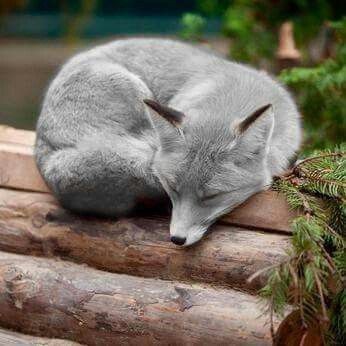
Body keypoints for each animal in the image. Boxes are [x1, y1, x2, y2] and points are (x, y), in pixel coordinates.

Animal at [33, 38, 302, 246]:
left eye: (211, 196)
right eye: (172, 188)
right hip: (134, 89)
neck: (235, 93)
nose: (177, 240)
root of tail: (45, 153)